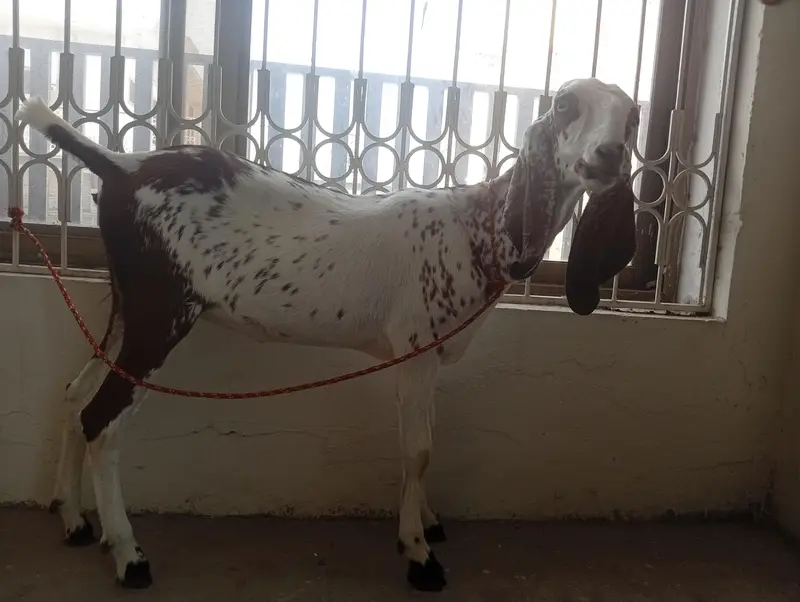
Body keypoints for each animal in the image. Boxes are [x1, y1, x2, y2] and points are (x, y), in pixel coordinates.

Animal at [15, 77, 639, 592]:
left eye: (632, 117)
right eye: (566, 104)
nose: (608, 154)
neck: (476, 227)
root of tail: (121, 165)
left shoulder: (431, 358)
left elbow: (429, 441)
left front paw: (428, 522)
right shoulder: (415, 351)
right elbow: (419, 450)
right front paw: (418, 554)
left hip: (129, 308)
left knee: (76, 395)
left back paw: (73, 519)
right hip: (161, 314)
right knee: (103, 418)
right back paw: (129, 555)